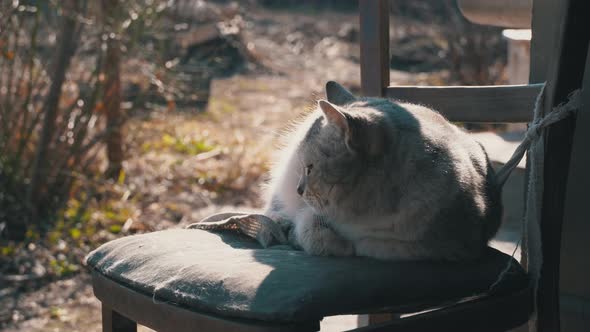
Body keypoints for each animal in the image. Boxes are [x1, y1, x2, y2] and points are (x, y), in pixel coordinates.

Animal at [197, 81, 502, 262]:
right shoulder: (311, 213)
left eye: (311, 168)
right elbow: (310, 228)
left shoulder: (428, 249)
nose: (299, 189)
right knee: (274, 210)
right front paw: (299, 235)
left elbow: (354, 244)